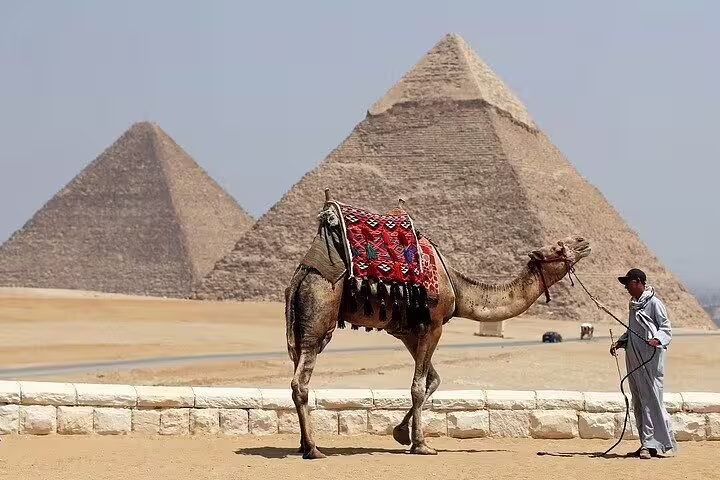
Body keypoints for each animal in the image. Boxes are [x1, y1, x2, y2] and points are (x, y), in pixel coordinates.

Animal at [285, 198, 591, 459]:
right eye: (558, 247)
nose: (583, 241)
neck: (457, 287)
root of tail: (300, 273)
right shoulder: (432, 325)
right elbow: (419, 386)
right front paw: (421, 445)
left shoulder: (408, 331)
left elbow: (432, 380)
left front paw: (401, 434)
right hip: (319, 312)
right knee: (300, 381)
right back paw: (313, 448)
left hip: (301, 325)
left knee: (297, 370)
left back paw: (302, 443)